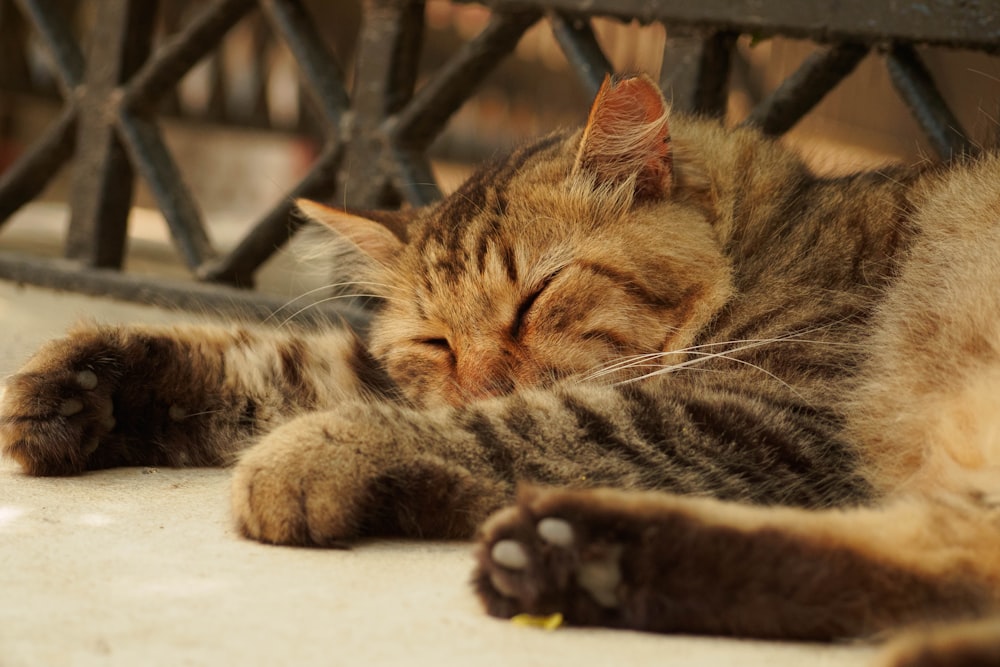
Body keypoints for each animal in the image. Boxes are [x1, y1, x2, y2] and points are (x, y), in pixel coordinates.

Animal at [1, 74, 1000, 667]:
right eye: (436, 342)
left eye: (534, 299)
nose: (484, 376)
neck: (770, 239)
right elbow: (281, 364)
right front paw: (80, 384)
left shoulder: (764, 408)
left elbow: (501, 425)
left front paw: (307, 456)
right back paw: (576, 557)